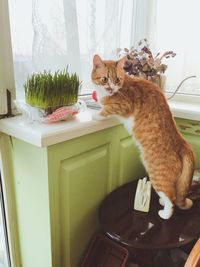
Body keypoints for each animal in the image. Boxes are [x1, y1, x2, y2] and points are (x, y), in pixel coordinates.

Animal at [92, 54, 194, 220]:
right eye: (104, 79)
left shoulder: (123, 105)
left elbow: (106, 109)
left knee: (171, 198)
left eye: (117, 79)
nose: (111, 88)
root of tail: (183, 144)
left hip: (156, 175)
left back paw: (165, 213)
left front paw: (96, 114)